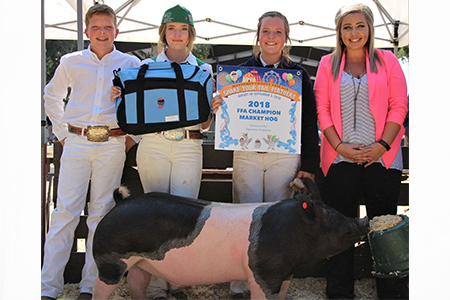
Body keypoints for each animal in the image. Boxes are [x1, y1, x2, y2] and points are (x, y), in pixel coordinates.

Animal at [92, 179, 370, 298]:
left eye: (334, 210)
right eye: (330, 219)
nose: (364, 220)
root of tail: (120, 203)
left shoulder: (284, 275)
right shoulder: (262, 275)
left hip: (140, 262)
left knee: (137, 284)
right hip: (109, 261)